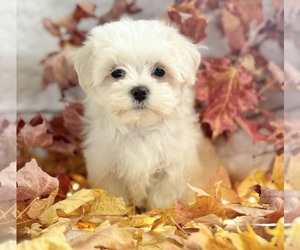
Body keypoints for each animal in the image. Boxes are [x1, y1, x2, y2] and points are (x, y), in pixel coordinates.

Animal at [74, 19, 220, 210]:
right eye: (117, 73)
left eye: (159, 71)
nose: (139, 91)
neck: (140, 127)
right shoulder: (107, 168)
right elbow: (114, 196)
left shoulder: (173, 169)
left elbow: (163, 199)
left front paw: (161, 214)